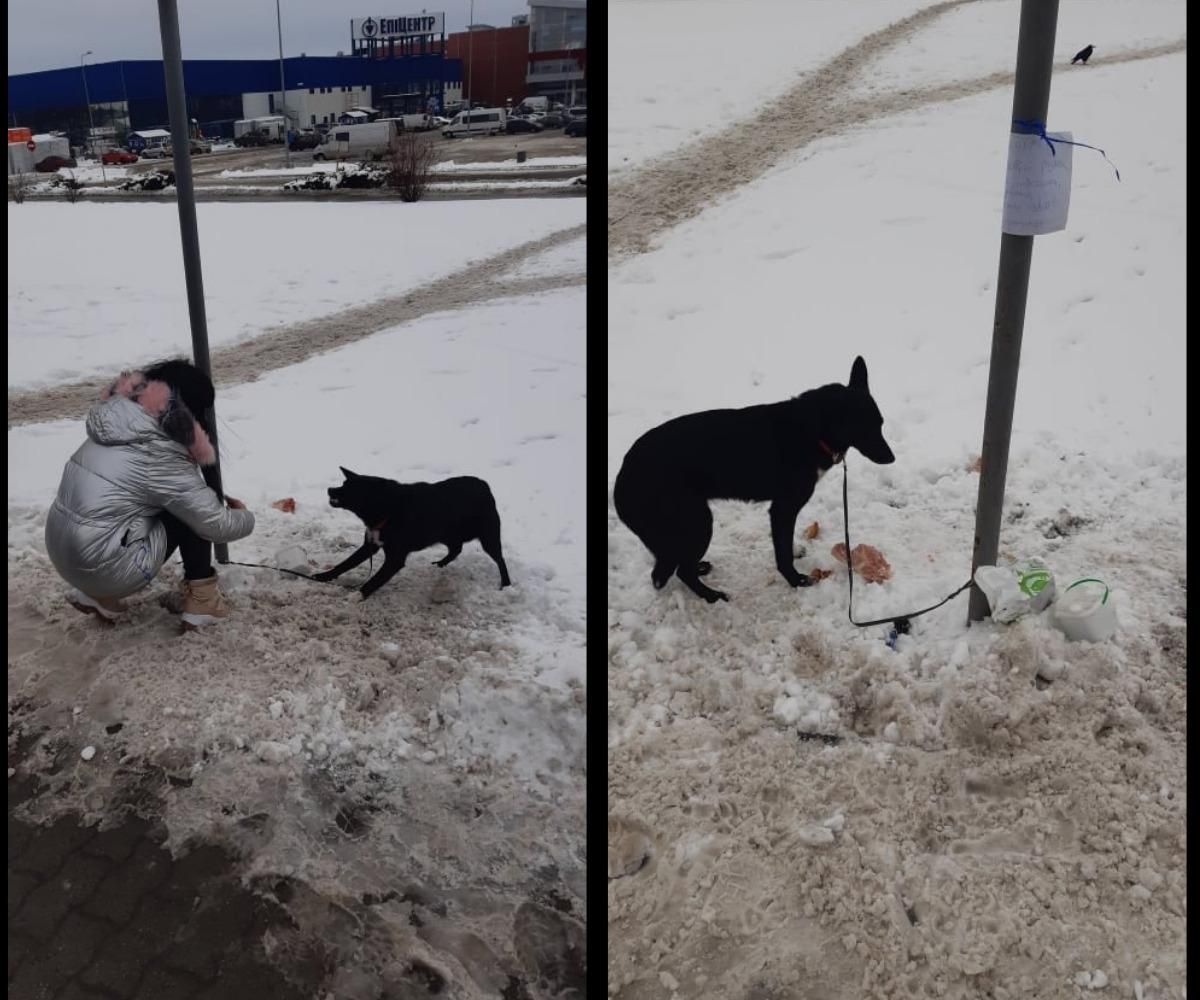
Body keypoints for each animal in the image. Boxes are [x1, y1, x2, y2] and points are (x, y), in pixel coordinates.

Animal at [314, 465, 511, 597]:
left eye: (348, 487)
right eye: (343, 483)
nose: (329, 489)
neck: (387, 508)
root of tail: (484, 485)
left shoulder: (395, 559)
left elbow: (375, 580)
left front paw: (357, 595)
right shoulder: (370, 545)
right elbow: (344, 564)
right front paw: (322, 577)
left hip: (488, 536)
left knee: (500, 559)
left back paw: (506, 585)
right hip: (445, 533)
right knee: (456, 549)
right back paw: (440, 564)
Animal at [614, 355, 897, 600]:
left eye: (881, 423)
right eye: (866, 428)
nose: (891, 458)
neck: (813, 429)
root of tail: (623, 476)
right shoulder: (783, 509)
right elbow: (782, 553)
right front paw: (796, 580)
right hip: (699, 522)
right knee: (679, 570)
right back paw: (711, 596)